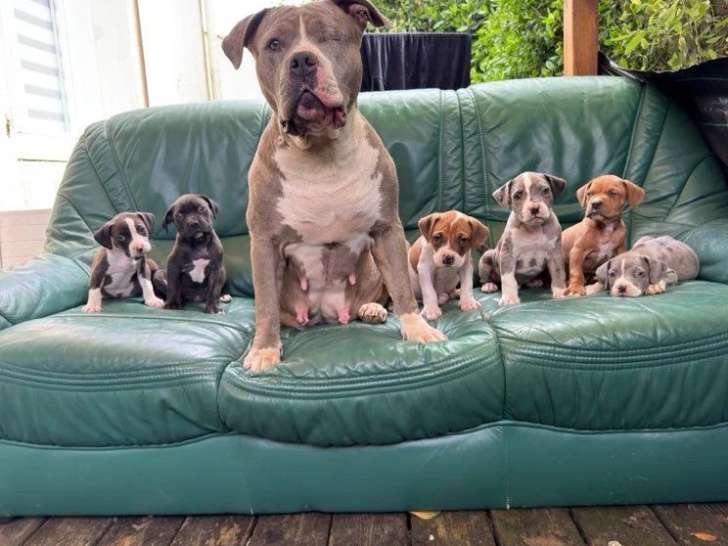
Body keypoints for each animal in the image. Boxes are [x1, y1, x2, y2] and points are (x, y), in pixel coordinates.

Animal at [222, 0, 445, 372]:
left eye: (330, 37)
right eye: (274, 44)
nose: (301, 60)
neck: (320, 155)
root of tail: (326, 315)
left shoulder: (387, 229)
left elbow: (401, 286)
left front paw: (417, 330)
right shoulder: (264, 242)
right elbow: (265, 305)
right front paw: (264, 350)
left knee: (380, 293)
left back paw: (372, 308)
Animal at [478, 172, 568, 306]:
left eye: (545, 190)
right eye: (517, 196)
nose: (534, 209)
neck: (533, 229)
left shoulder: (554, 254)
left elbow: (558, 272)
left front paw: (561, 291)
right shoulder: (507, 255)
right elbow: (508, 279)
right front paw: (509, 298)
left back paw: (533, 281)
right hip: (486, 257)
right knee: (487, 279)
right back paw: (488, 285)